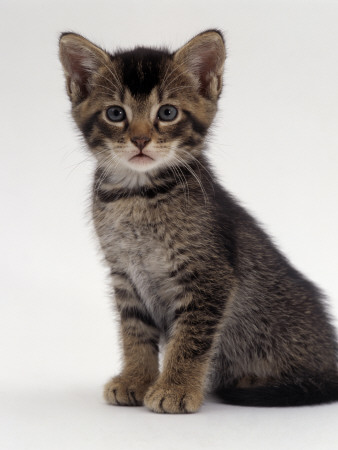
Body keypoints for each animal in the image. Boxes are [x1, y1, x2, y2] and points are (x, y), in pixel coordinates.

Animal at [59, 29, 338, 414]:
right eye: (115, 113)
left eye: (168, 112)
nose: (141, 139)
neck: (137, 196)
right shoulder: (125, 274)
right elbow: (134, 333)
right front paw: (136, 379)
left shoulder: (209, 275)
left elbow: (190, 339)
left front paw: (175, 389)